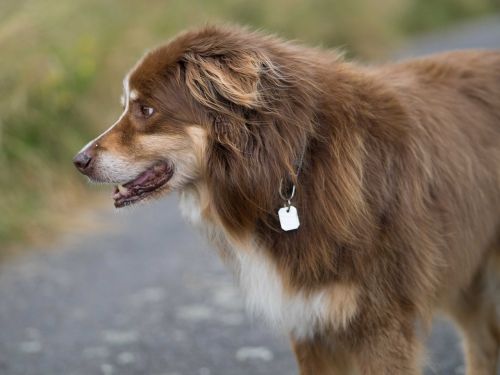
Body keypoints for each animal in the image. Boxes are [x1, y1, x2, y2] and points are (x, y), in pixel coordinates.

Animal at [73, 25, 500, 374]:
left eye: (146, 109)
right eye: (126, 106)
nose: (79, 161)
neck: (291, 167)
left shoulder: (381, 323)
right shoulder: (309, 321)